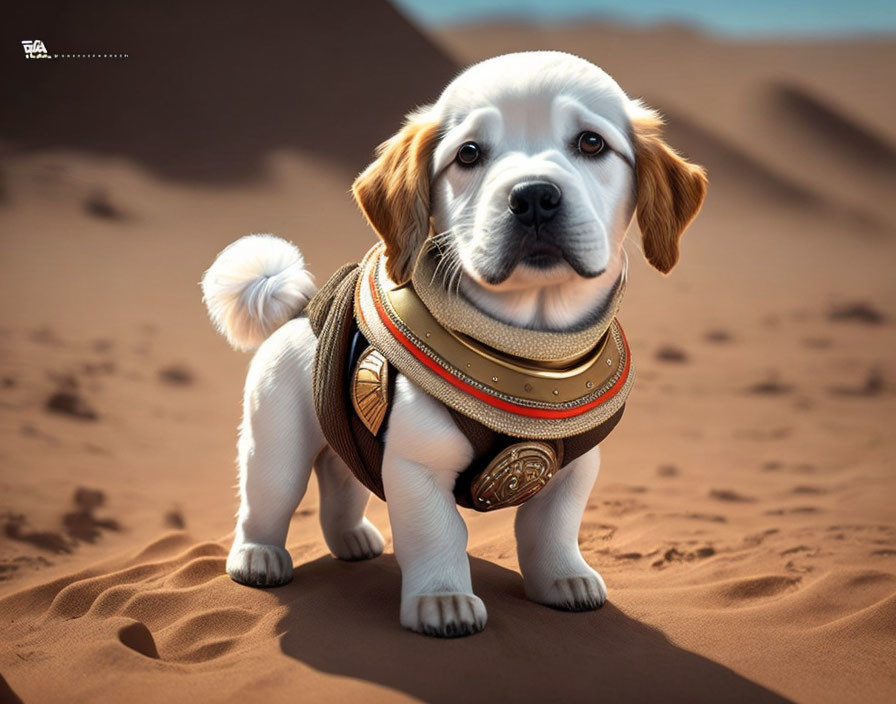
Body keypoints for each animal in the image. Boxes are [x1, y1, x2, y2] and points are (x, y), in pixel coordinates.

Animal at [203, 51, 708, 640]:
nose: (534, 197)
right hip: (276, 445)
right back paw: (257, 557)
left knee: (342, 478)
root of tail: (300, 308)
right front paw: (442, 600)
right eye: (469, 154)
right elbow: (438, 535)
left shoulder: (573, 469)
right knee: (268, 500)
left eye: (591, 143)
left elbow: (551, 531)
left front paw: (562, 581)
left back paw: (352, 540)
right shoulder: (416, 467)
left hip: (343, 435)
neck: (530, 350)